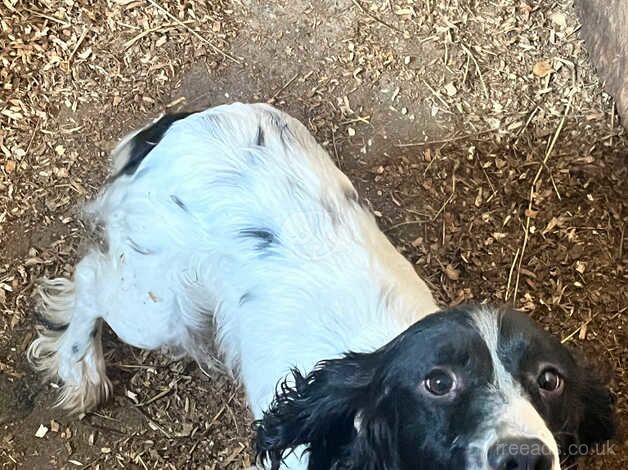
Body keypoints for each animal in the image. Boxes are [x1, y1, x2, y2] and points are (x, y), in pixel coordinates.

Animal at [28, 103, 612, 470]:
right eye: (437, 381)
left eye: (551, 380)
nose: (525, 456)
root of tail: (182, 122)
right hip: (159, 309)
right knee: (90, 281)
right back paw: (81, 369)